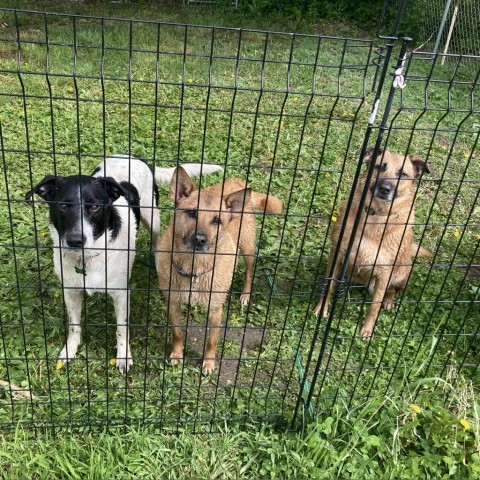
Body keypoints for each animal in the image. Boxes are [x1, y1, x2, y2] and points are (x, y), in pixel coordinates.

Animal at [25, 156, 221, 374]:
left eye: (95, 207)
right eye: (63, 206)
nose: (75, 240)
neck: (89, 258)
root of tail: (135, 158)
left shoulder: (121, 294)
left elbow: (121, 329)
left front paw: (123, 357)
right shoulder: (71, 291)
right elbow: (74, 326)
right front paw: (69, 351)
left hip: (152, 217)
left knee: (156, 243)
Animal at [156, 169, 284, 376]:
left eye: (216, 220)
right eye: (191, 212)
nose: (199, 239)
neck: (194, 266)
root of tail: (239, 182)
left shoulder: (215, 311)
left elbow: (212, 340)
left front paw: (209, 363)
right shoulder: (173, 303)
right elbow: (177, 332)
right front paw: (177, 354)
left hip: (247, 248)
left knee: (249, 272)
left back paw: (245, 295)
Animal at [316, 148, 432, 340]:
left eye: (403, 174)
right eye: (379, 167)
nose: (384, 189)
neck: (376, 216)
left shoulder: (385, 271)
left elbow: (374, 306)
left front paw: (367, 329)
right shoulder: (337, 254)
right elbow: (329, 285)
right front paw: (321, 308)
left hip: (402, 273)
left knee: (392, 292)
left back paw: (389, 301)